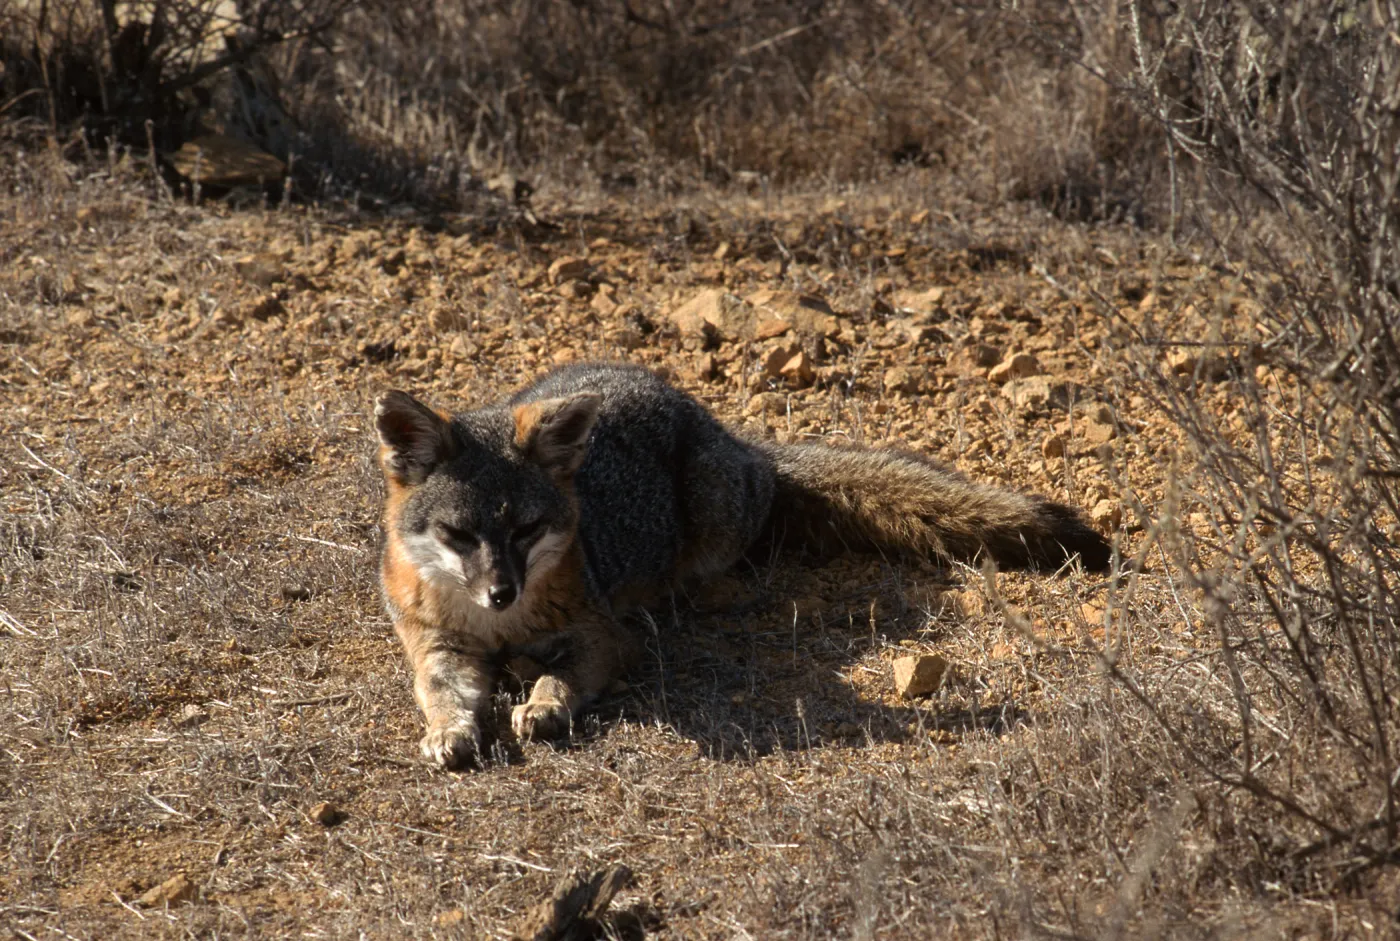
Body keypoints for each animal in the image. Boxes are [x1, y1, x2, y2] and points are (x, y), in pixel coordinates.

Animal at [374, 362, 1111, 768]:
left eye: (526, 529)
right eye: (459, 534)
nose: (501, 591)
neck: (500, 631)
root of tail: (736, 439)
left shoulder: (603, 635)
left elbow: (563, 673)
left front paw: (545, 704)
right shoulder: (436, 645)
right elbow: (440, 694)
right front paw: (449, 732)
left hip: (716, 518)